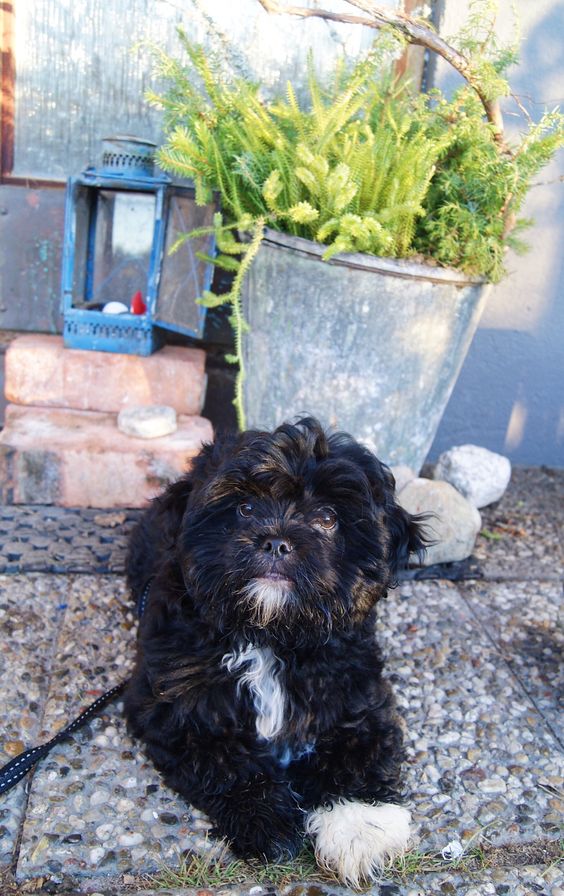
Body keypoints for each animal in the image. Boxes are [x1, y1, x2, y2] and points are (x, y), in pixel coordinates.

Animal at [123, 416, 424, 884]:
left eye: (327, 517)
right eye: (245, 509)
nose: (277, 541)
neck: (268, 633)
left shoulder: (355, 691)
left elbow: (359, 751)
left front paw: (359, 828)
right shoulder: (173, 700)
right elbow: (225, 759)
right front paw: (267, 820)